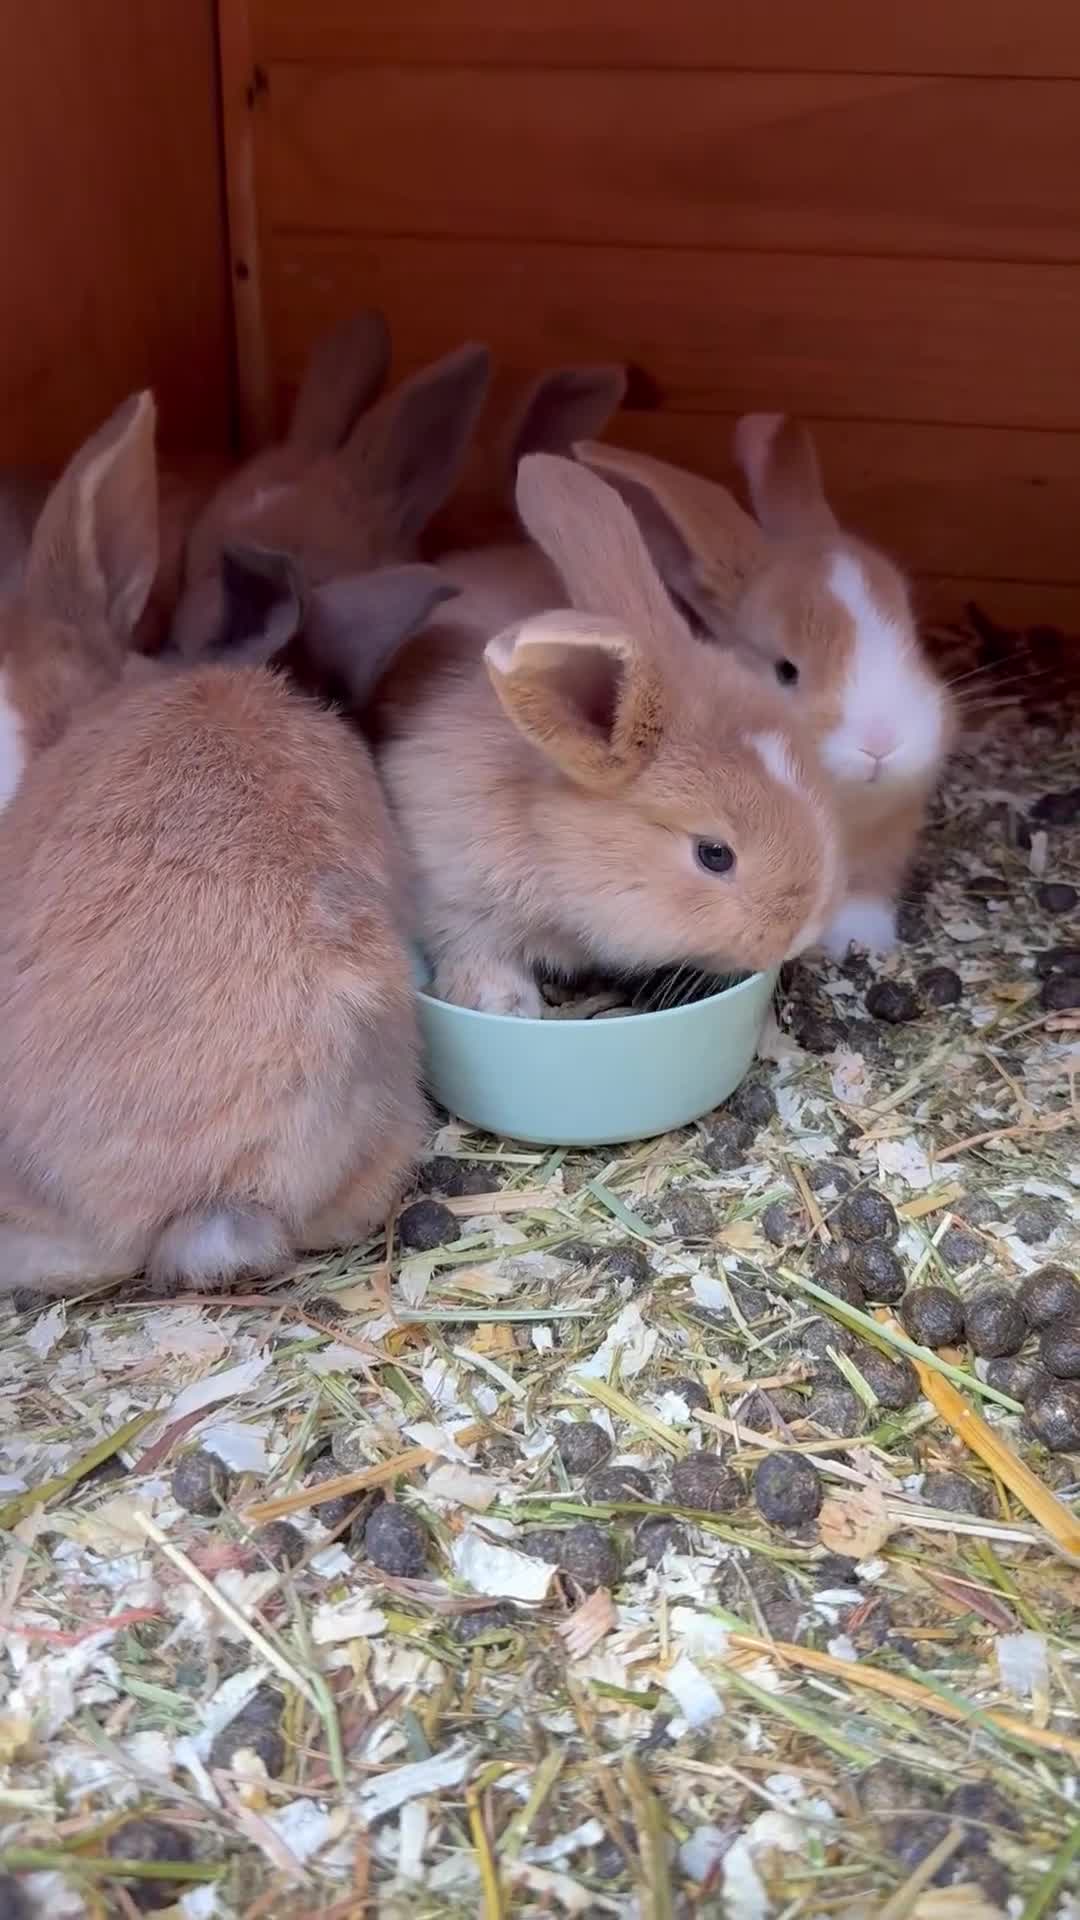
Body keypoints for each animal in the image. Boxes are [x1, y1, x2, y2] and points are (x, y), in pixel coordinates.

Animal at [376, 453, 844, 1019]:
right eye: (714, 855)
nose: (798, 935)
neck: (543, 829)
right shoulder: (452, 891)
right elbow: (475, 949)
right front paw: (504, 1004)